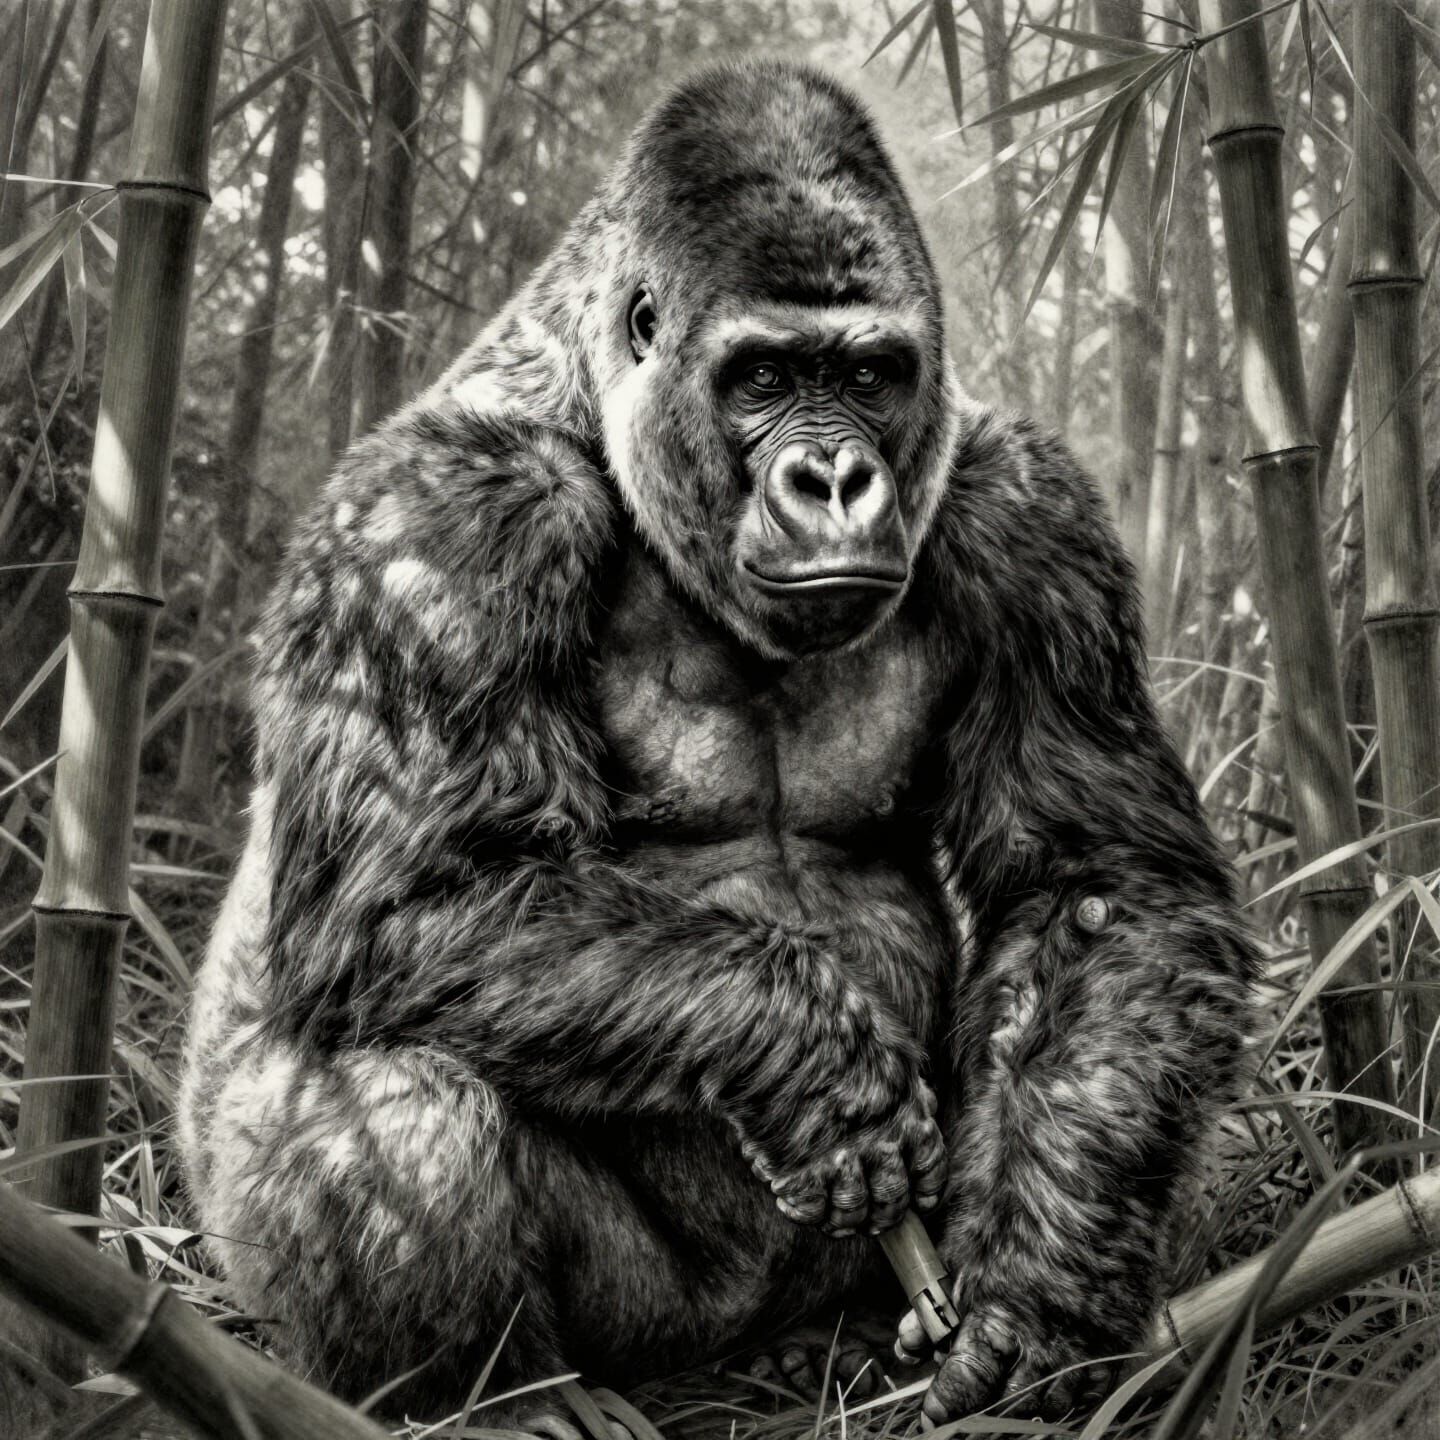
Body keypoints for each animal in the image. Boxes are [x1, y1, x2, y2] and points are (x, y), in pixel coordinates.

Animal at [178, 60, 1256, 1428]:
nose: (835, 481)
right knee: (388, 1074)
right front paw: (805, 1056)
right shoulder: (443, 518)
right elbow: (412, 901)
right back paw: (501, 1394)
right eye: (761, 379)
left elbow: (1095, 887)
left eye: (867, 378)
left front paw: (1038, 1299)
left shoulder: (1028, 515)